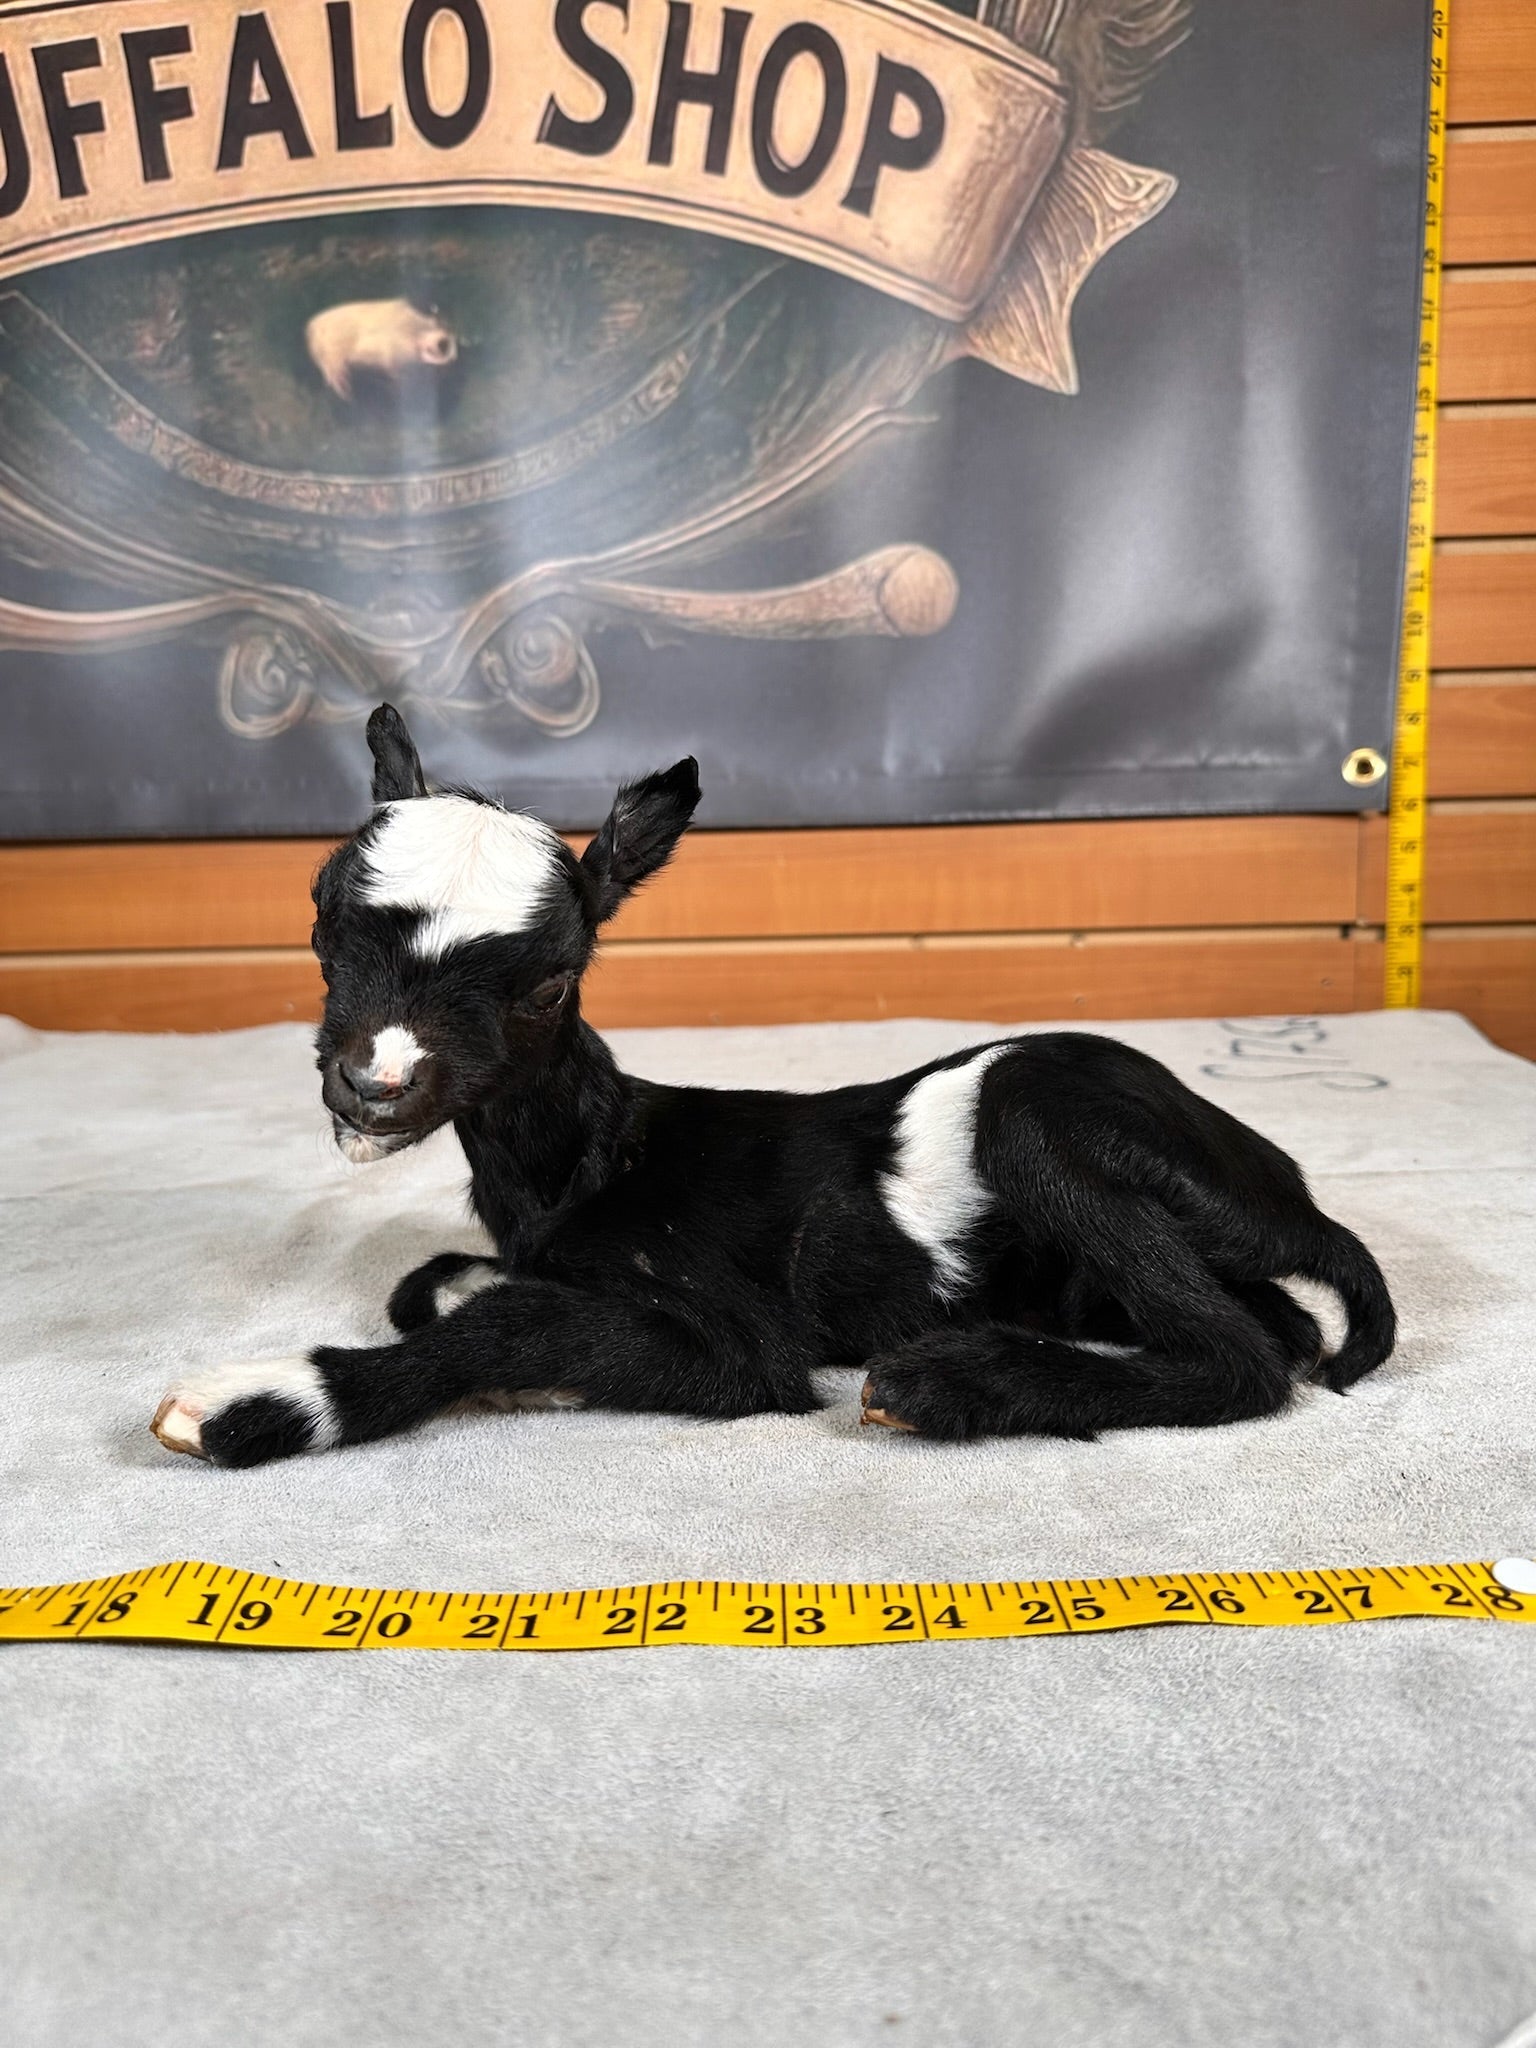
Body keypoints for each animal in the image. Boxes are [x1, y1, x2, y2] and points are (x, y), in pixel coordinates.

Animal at [151, 704, 1396, 1466]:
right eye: (321, 918)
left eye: (550, 980)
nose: (376, 1083)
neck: (593, 1158)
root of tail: (1284, 1189)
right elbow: (454, 1287)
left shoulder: (745, 1339)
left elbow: (517, 1325)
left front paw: (258, 1401)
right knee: (1275, 1324)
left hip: (1034, 1114)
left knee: (1239, 1356)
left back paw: (953, 1382)